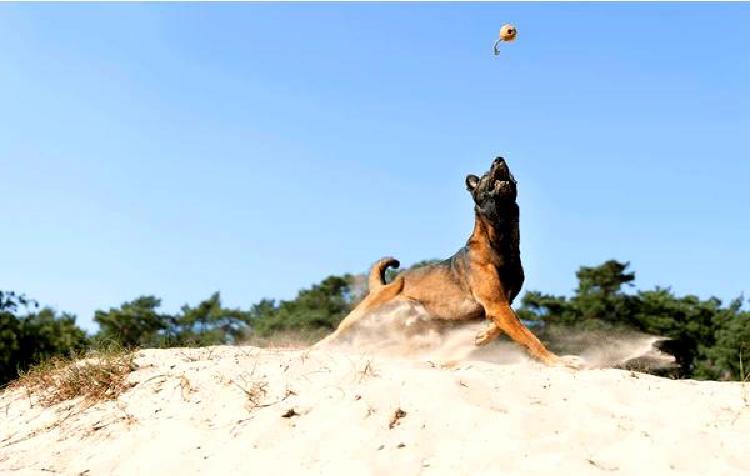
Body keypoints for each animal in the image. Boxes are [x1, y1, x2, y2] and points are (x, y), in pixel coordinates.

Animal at [318, 158, 564, 366]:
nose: (499, 159)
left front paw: (482, 336)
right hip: (362, 316)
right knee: (333, 337)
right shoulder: (496, 303)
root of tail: (381, 286)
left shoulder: (502, 302)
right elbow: (528, 336)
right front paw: (557, 361)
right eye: (486, 174)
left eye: (510, 172)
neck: (500, 241)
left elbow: (501, 327)